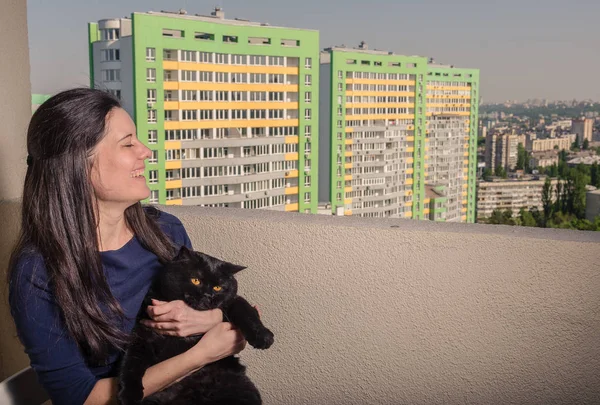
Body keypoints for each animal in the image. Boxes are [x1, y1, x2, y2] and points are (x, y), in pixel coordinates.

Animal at [116, 245, 274, 402]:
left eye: (218, 287)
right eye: (196, 280)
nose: (208, 296)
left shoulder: (232, 303)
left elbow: (246, 311)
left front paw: (264, 337)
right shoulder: (143, 334)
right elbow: (131, 363)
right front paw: (129, 395)